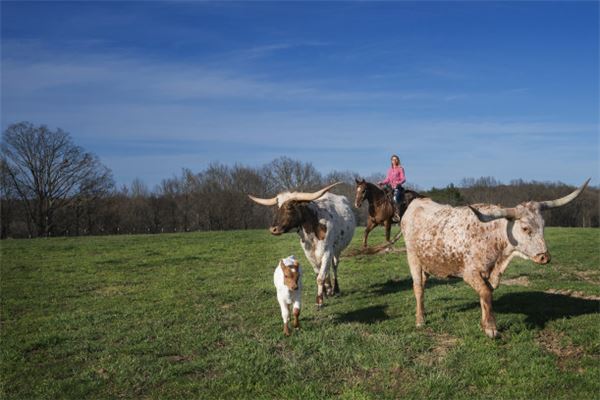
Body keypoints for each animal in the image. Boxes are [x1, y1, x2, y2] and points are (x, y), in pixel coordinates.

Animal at [404, 180, 592, 340]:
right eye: (525, 228)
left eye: (543, 225)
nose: (544, 257)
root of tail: (416, 203)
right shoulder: (470, 273)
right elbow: (486, 293)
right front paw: (491, 328)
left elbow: (485, 295)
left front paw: (484, 324)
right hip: (413, 258)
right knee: (418, 288)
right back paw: (420, 320)